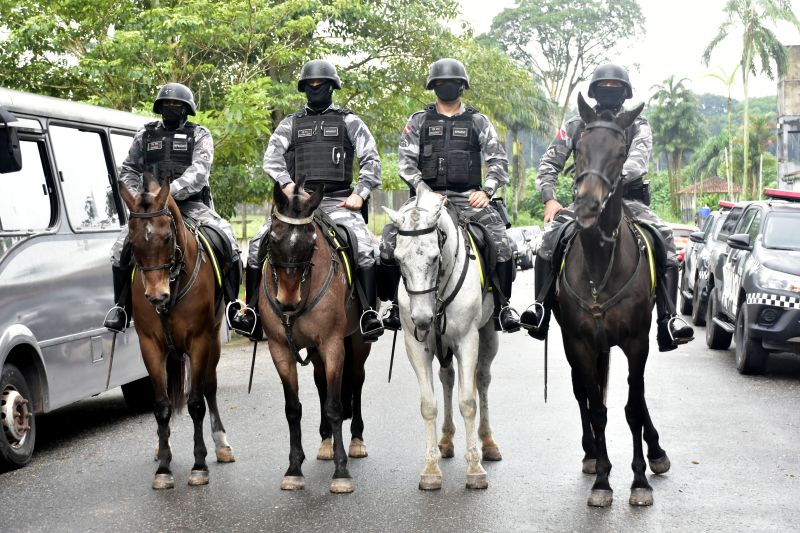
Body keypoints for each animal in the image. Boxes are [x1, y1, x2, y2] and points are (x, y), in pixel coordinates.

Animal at [118, 176, 234, 490]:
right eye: (132, 242)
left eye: (167, 237)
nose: (156, 296)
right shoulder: (150, 345)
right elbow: (161, 405)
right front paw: (163, 467)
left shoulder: (200, 342)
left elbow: (196, 403)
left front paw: (199, 465)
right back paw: (162, 446)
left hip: (214, 341)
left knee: (209, 388)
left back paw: (221, 443)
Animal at [260, 177, 374, 492]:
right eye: (272, 238)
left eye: (311, 242)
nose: (287, 300)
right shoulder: (280, 349)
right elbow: (293, 409)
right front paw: (293, 468)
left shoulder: (333, 345)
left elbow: (336, 405)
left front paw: (341, 471)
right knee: (322, 383)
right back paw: (325, 442)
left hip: (357, 344)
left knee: (356, 382)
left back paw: (356, 441)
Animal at [382, 188, 500, 490]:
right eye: (397, 260)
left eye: (435, 258)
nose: (423, 319)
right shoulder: (417, 345)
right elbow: (429, 405)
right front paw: (431, 469)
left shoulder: (467, 340)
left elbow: (468, 402)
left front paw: (475, 469)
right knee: (447, 378)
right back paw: (445, 440)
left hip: (487, 335)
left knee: (483, 380)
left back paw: (488, 442)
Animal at [552, 92, 672, 508]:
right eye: (578, 147)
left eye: (622, 153)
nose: (587, 206)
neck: (600, 264)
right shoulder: (581, 343)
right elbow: (598, 409)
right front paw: (603, 480)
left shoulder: (636, 341)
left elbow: (633, 408)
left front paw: (639, 481)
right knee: (583, 395)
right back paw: (591, 454)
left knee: (638, 395)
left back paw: (656, 452)